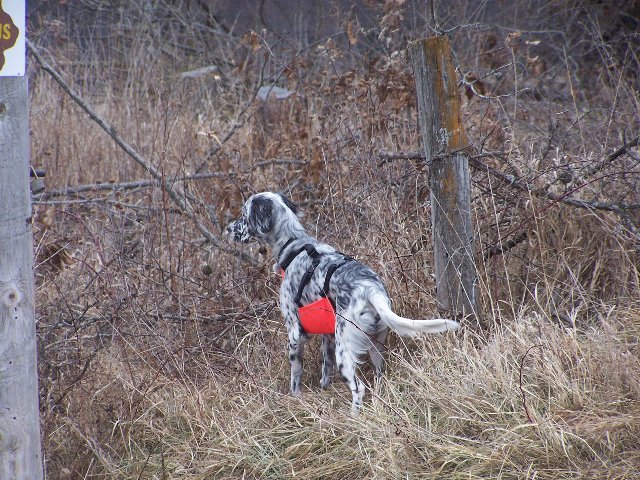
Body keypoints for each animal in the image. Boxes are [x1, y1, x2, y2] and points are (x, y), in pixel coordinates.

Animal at [228, 191, 458, 412]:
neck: (293, 243)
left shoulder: (295, 333)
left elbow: (296, 374)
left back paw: (354, 417)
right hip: (375, 346)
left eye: (244, 216)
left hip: (345, 350)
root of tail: (369, 288)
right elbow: (325, 368)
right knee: (379, 376)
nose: (228, 228)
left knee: (359, 389)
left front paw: (295, 398)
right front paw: (323, 388)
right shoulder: (328, 335)